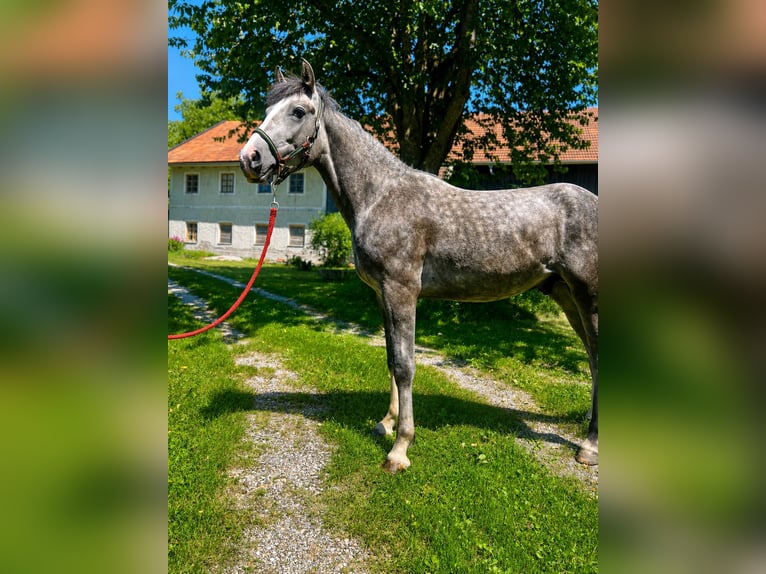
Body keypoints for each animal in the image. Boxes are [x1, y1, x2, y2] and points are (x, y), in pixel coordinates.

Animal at [240, 60, 598, 473]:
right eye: (267, 110)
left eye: (298, 111)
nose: (249, 159)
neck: (380, 196)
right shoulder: (382, 294)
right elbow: (391, 358)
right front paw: (386, 423)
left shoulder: (402, 290)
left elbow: (406, 365)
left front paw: (400, 449)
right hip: (567, 296)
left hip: (588, 296)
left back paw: (589, 447)